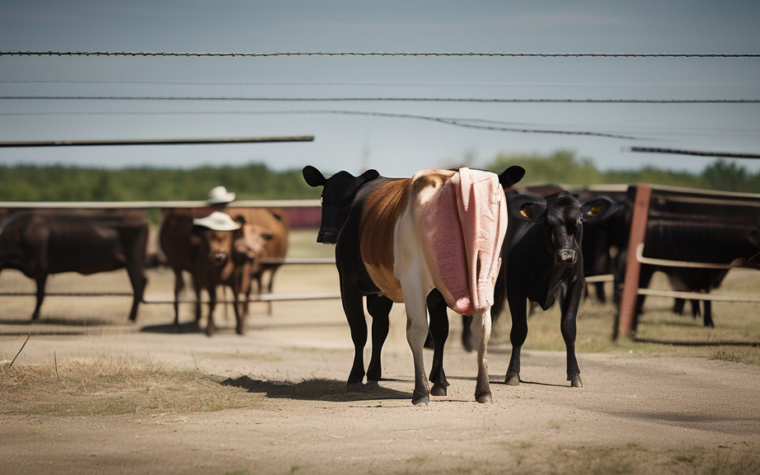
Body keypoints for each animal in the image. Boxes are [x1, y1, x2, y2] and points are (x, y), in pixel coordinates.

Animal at [0, 212, 148, 321]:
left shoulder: (40, 267)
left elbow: (40, 294)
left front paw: (35, 316)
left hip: (134, 261)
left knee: (139, 283)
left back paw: (132, 317)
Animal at [303, 165, 524, 405]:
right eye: (324, 197)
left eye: (346, 200)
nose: (326, 233)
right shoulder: (399, 292)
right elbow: (390, 328)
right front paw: (377, 375)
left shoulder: (349, 284)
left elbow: (360, 330)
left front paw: (355, 377)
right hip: (483, 277)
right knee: (481, 328)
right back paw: (482, 390)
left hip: (413, 279)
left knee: (416, 329)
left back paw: (421, 391)